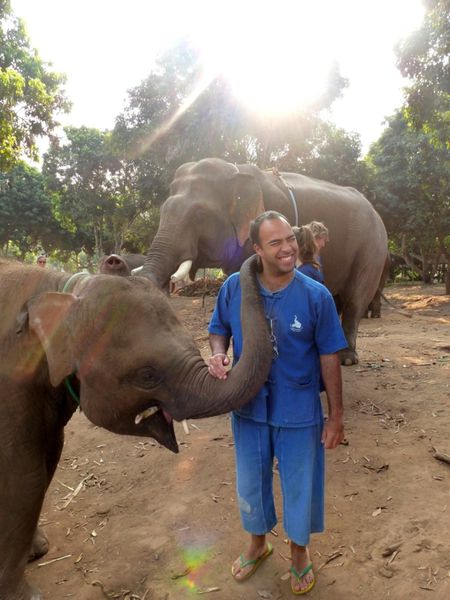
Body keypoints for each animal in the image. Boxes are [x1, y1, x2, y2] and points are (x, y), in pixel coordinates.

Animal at [0, 256, 271, 600]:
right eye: (147, 375)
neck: (63, 289)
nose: (258, 261)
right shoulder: (10, 386)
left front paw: (39, 551)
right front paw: (26, 595)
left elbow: (48, 461)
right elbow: (24, 477)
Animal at [139, 158, 389, 365]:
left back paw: (347, 359)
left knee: (355, 299)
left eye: (200, 214)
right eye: (163, 210)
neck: (235, 169)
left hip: (372, 249)